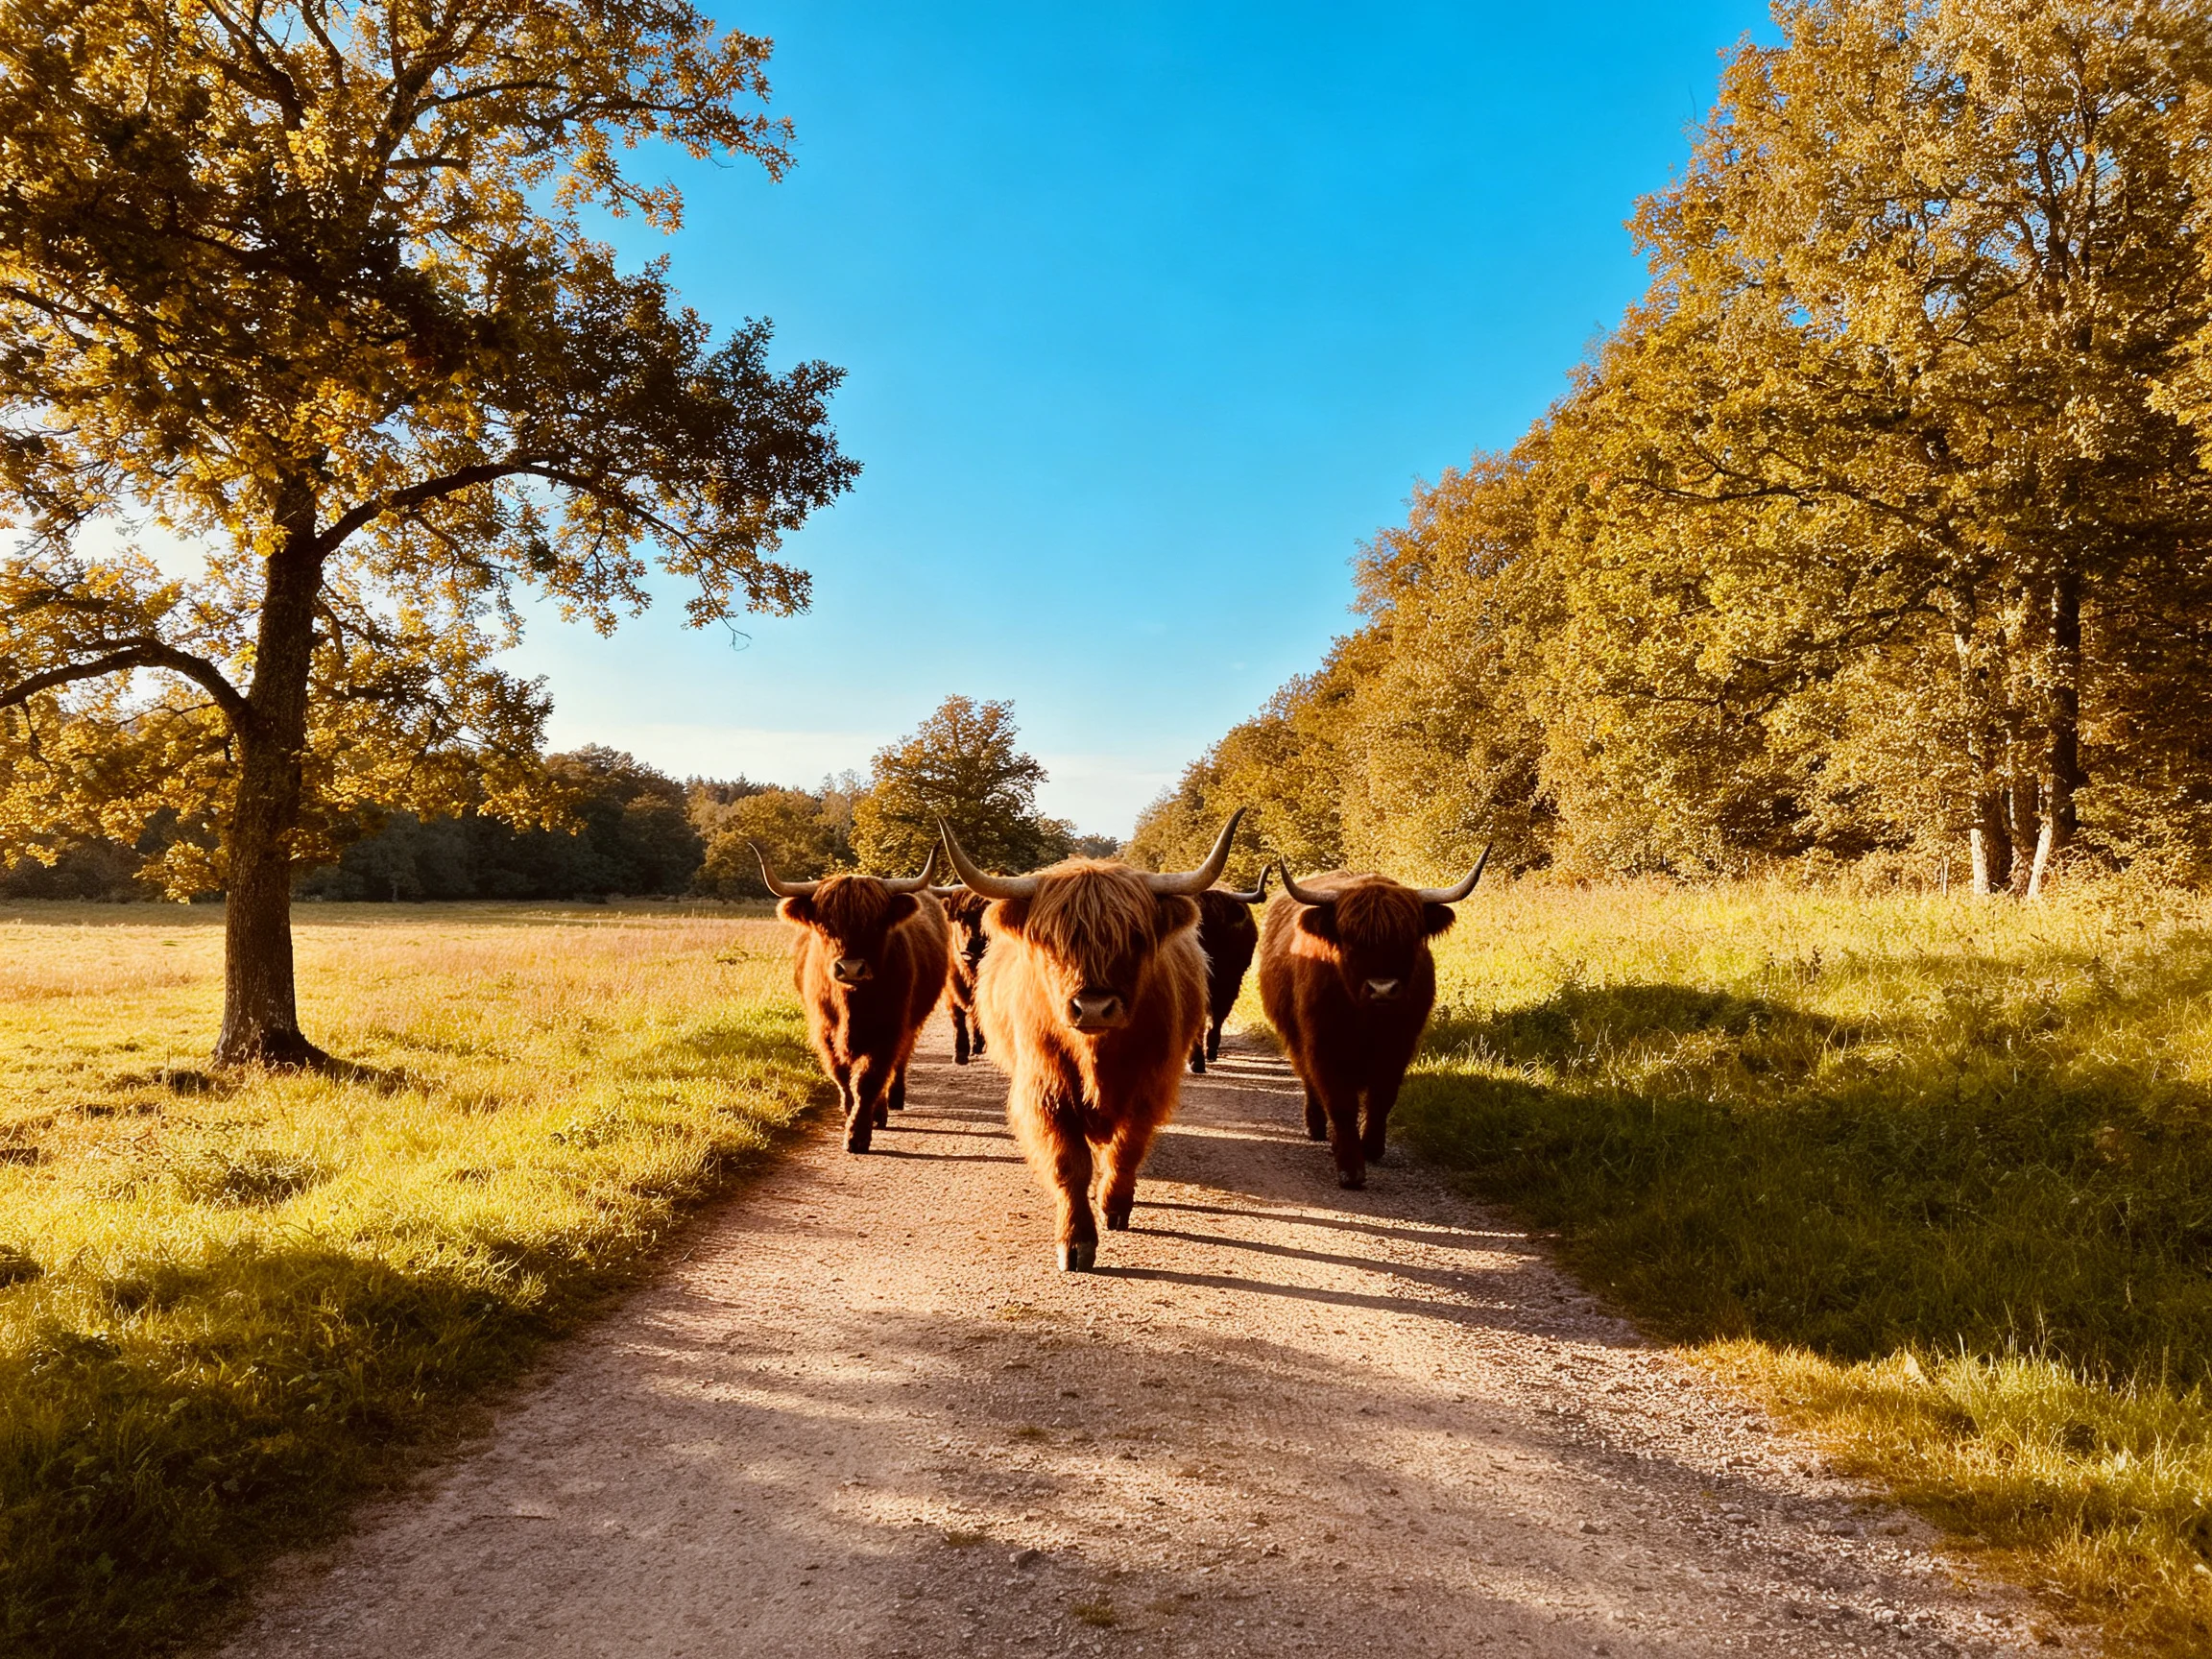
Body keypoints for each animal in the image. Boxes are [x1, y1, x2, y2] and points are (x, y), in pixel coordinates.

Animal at [758, 844, 952, 1155]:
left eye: (876, 924)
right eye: (825, 924)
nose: (850, 969)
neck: (852, 1007)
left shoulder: (889, 1030)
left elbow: (868, 1080)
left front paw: (858, 1134)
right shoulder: (824, 1031)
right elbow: (842, 1076)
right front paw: (850, 1112)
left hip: (912, 1023)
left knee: (898, 1062)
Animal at [1257, 848, 1489, 1190]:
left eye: (1409, 939)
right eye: (1350, 941)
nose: (1382, 989)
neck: (1367, 1019)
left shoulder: (1400, 1045)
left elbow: (1382, 1097)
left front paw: (1372, 1147)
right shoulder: (1323, 1045)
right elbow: (1341, 1103)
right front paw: (1351, 1168)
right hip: (1293, 1035)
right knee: (1309, 1080)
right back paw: (1316, 1127)